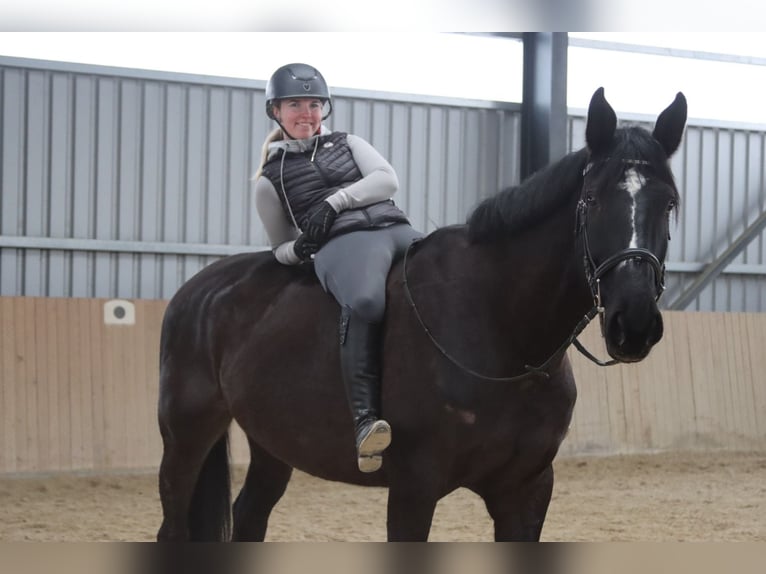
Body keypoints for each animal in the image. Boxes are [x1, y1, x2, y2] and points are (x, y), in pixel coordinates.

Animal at [158, 88, 688, 544]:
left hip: (272, 442)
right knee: (173, 526)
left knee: (250, 517)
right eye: (591, 200)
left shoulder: (527, 491)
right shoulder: (414, 489)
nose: (634, 324)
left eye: (670, 204)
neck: (503, 333)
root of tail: (200, 290)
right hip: (186, 434)